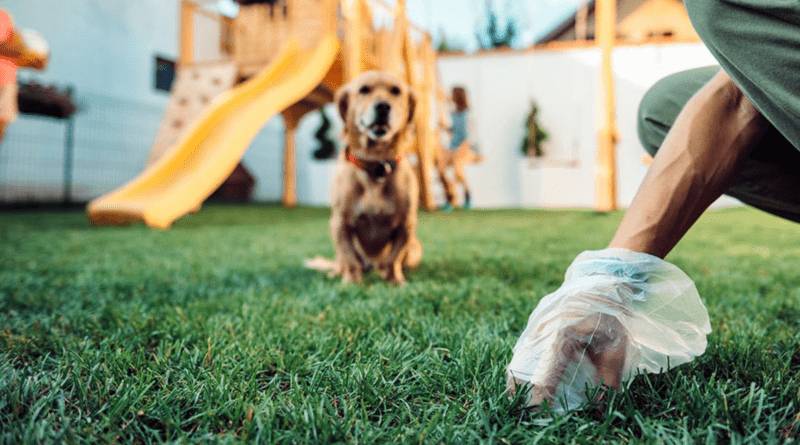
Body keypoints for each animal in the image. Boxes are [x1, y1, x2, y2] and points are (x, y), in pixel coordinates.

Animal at [304, 70, 422, 282]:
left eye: (396, 91)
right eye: (364, 90)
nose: (383, 106)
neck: (375, 165)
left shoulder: (406, 225)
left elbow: (393, 258)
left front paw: (394, 280)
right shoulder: (339, 224)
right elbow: (351, 259)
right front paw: (352, 282)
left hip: (416, 250)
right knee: (342, 261)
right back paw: (337, 273)